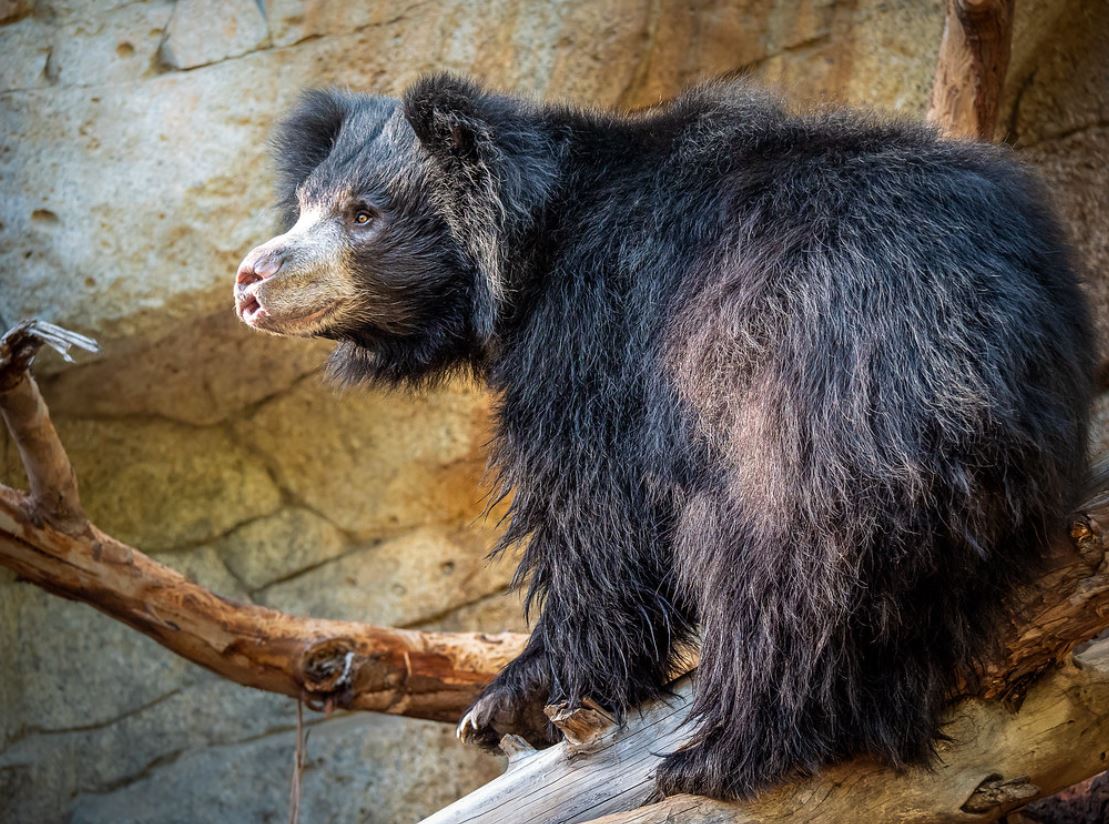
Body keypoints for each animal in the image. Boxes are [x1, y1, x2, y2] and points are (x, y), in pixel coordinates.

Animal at [233, 74, 1097, 800]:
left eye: (363, 214)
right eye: (303, 204)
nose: (251, 277)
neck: (531, 241)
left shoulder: (595, 332)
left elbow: (594, 510)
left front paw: (514, 700)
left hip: (816, 414)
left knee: (775, 573)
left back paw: (720, 752)